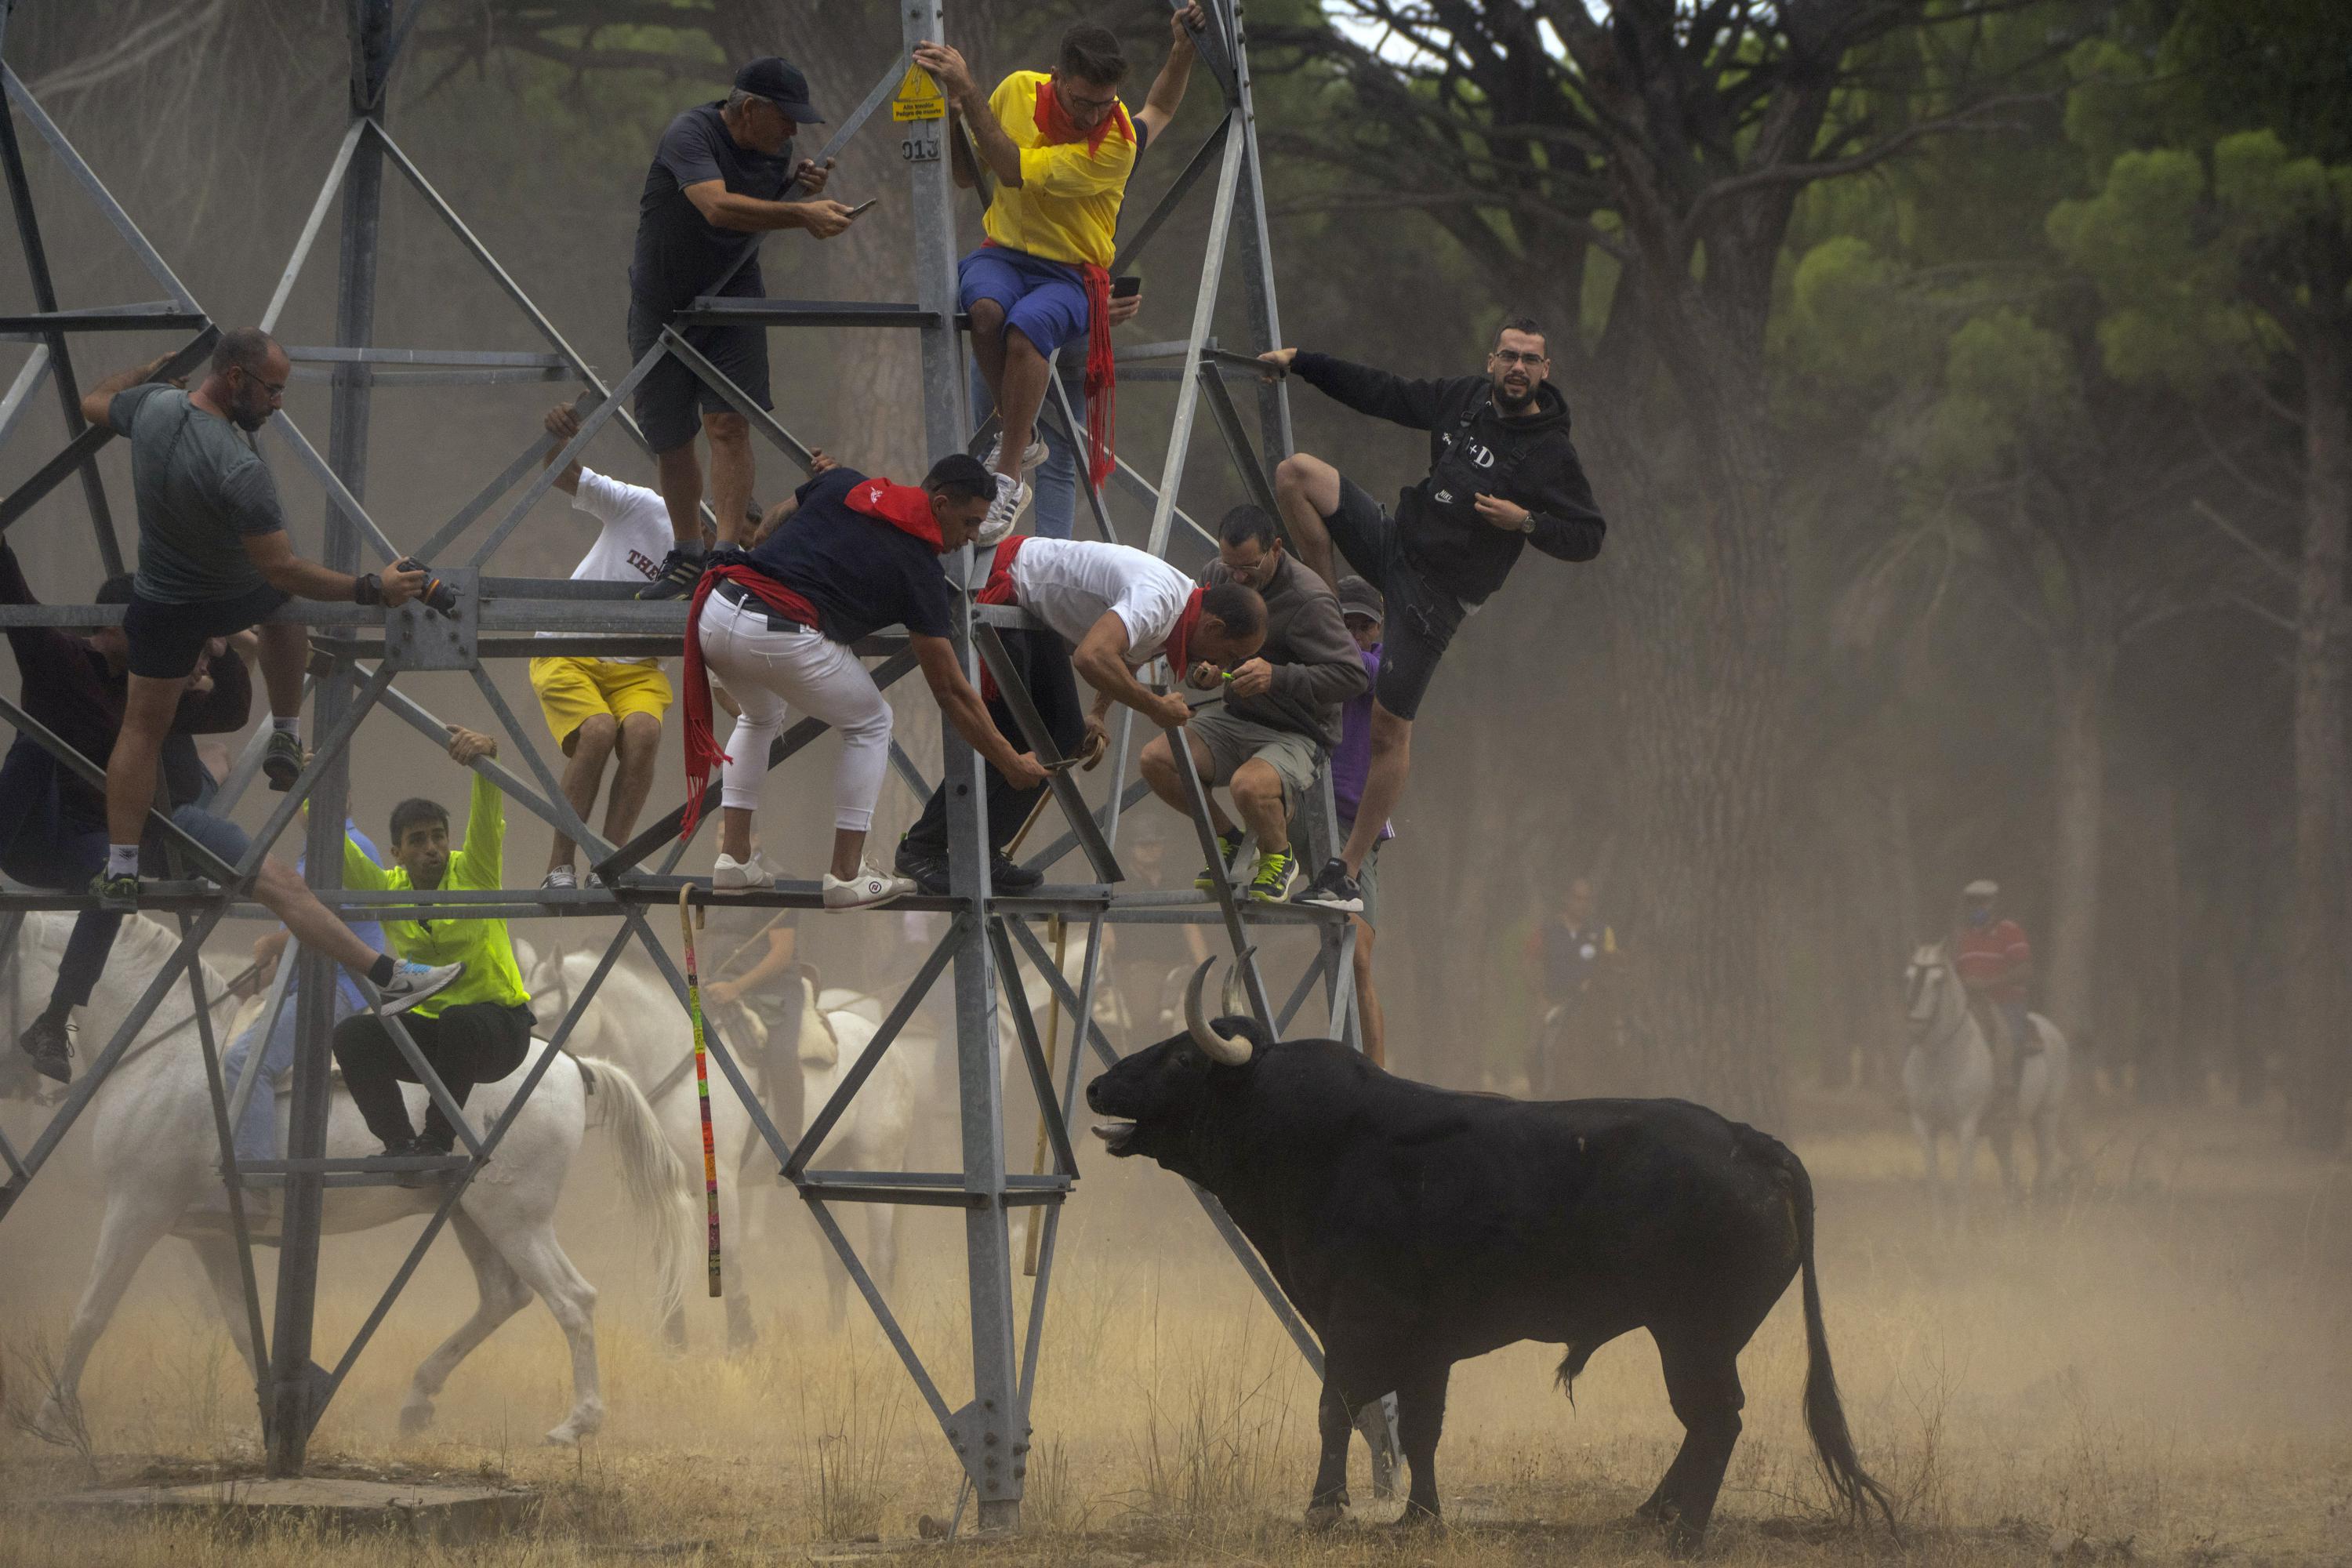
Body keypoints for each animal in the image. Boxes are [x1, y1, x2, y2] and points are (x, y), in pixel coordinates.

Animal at [6, 912, 687, 1457]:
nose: (28, 1070)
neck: (164, 1056)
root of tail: (571, 1067)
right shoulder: (211, 1236)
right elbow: (240, 1328)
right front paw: (280, 1416)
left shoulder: (136, 1212)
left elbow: (90, 1315)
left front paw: (53, 1420)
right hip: (470, 1214)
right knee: (503, 1297)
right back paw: (418, 1399)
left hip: (516, 1219)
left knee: (572, 1300)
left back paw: (577, 1423)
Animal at [524, 945, 917, 1335]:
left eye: (549, 1017)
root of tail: (893, 1050)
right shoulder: (662, 1188)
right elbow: (668, 1261)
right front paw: (675, 1340)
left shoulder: (722, 1184)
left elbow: (728, 1258)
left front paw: (742, 1338)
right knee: (835, 1260)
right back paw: (836, 1335)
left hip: (875, 1163)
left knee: (881, 1257)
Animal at [1082, 964, 1891, 1552]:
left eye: (1181, 1055)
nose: (1096, 1084)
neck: (1322, 1140)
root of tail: (1752, 1142)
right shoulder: (1426, 1345)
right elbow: (1423, 1427)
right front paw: (1419, 1516)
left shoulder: (1356, 1322)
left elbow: (1336, 1408)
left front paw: (1324, 1508)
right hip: (1693, 1338)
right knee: (1705, 1424)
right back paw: (1652, 1513)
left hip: (1695, 1336)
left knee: (1717, 1420)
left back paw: (1684, 1532)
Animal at [1900, 945, 2070, 1222]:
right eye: (1908, 976)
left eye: (1938, 981)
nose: (1915, 1025)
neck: (1940, 1057)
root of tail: (2051, 1030)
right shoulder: (1923, 1125)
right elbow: (1935, 1182)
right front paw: (1938, 1229)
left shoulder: (1966, 1125)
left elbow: (1962, 1182)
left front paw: (1961, 1231)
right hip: (2002, 1129)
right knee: (2010, 1172)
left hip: (2047, 1114)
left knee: (2046, 1164)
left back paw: (2040, 1219)